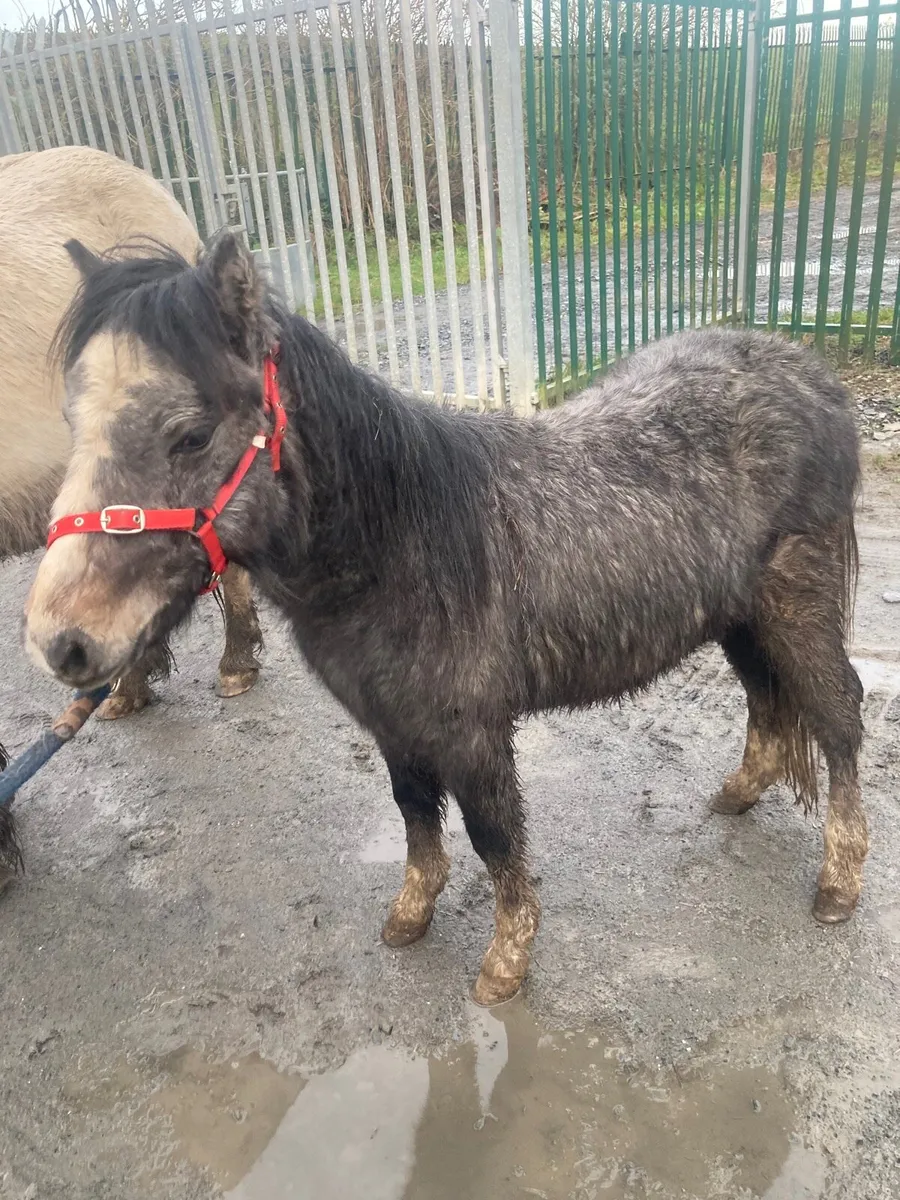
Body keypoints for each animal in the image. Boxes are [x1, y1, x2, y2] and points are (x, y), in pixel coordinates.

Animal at [24, 230, 866, 1006]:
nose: (60, 641)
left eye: (191, 434)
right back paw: (740, 793)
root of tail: (811, 376)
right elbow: (413, 812)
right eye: (72, 420)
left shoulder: (472, 730)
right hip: (740, 617)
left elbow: (494, 835)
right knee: (767, 696)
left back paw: (838, 884)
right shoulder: (394, 723)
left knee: (837, 716)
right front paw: (412, 912)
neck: (400, 546)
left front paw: (506, 961)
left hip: (798, 605)